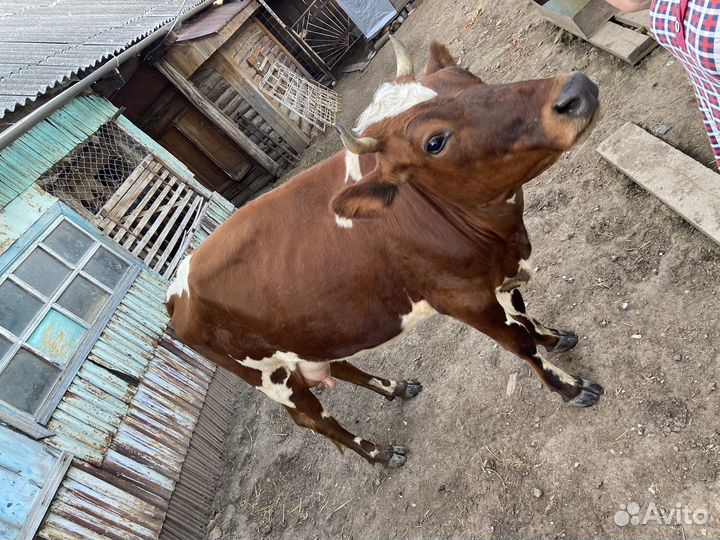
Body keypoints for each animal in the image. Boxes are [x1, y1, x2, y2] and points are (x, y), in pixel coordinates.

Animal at [166, 37, 602, 468]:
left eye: (470, 77)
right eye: (434, 142)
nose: (575, 91)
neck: (502, 237)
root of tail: (175, 285)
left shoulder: (497, 271)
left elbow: (524, 316)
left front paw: (553, 338)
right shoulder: (462, 297)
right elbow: (519, 342)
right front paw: (569, 387)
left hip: (308, 338)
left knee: (342, 365)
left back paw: (395, 388)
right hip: (269, 375)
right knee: (314, 418)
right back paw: (379, 452)